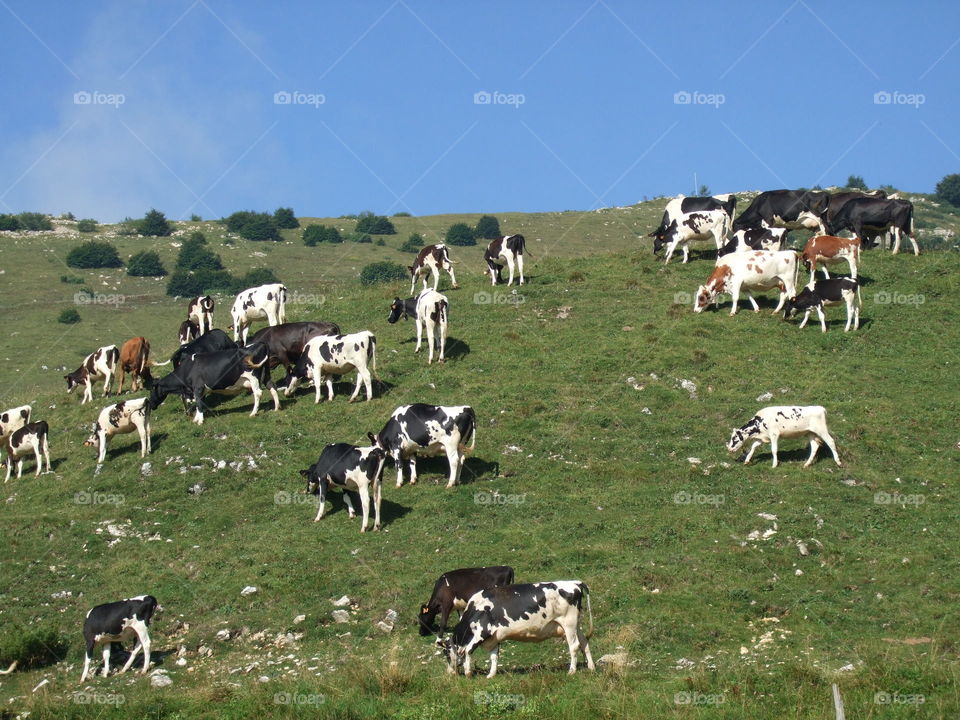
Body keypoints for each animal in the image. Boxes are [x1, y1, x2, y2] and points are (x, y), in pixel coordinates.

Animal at [149, 342, 279, 424]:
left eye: (151, 391)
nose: (151, 405)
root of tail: (261, 344)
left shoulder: (198, 387)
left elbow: (199, 403)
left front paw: (200, 421)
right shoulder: (199, 390)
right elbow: (199, 403)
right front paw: (196, 419)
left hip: (253, 377)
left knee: (258, 393)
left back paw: (253, 413)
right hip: (266, 374)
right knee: (272, 387)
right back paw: (277, 408)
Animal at [438, 581, 595, 678]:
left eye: (446, 653)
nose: (449, 672)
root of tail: (575, 583)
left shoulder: (482, 632)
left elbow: (468, 651)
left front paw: (468, 673)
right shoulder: (494, 638)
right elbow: (494, 656)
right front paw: (491, 675)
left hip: (569, 623)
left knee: (574, 646)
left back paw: (572, 671)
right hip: (575, 625)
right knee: (584, 643)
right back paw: (591, 667)